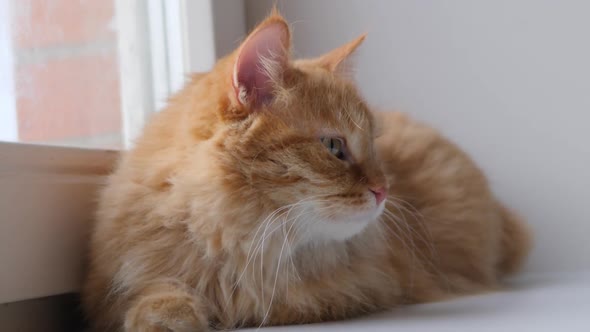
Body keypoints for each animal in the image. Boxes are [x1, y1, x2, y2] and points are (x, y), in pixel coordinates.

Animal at [83, 10, 532, 332]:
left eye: (374, 145)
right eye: (334, 147)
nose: (384, 190)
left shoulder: (347, 290)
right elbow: (149, 293)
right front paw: (165, 312)